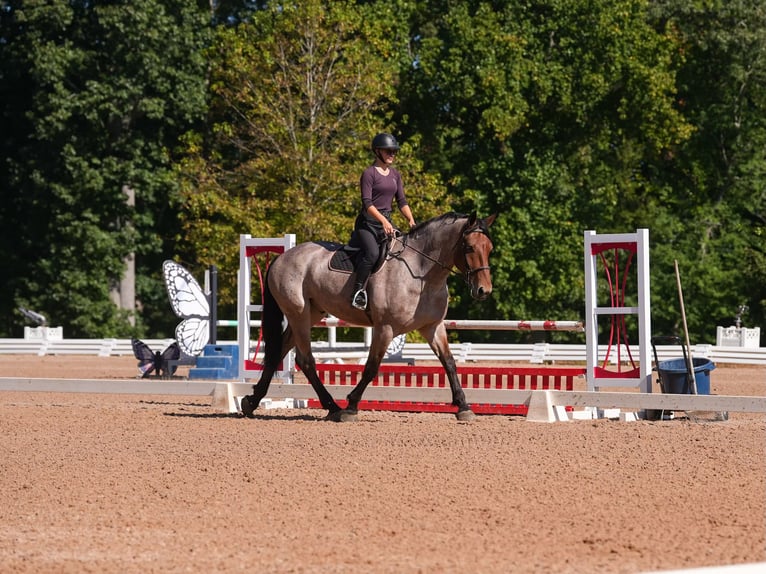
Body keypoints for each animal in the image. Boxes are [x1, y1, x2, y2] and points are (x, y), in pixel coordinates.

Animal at [239, 211, 497, 422]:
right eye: (469, 248)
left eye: (490, 249)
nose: (484, 291)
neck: (422, 274)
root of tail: (281, 258)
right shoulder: (385, 328)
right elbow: (372, 367)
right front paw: (351, 406)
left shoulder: (433, 327)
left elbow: (449, 363)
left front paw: (464, 406)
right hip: (298, 314)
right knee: (307, 360)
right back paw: (333, 407)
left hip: (309, 314)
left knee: (279, 354)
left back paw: (251, 402)